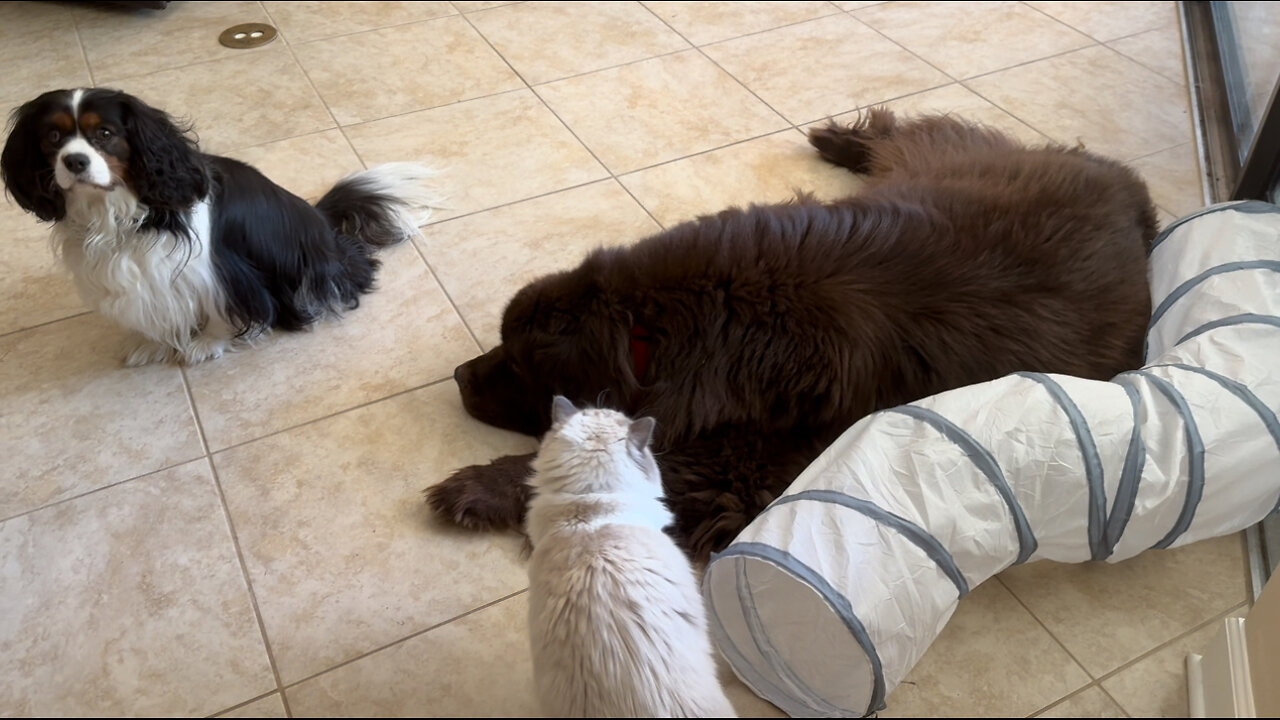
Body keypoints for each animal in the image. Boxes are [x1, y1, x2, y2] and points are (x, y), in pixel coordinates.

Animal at [2, 87, 440, 363]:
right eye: (53, 137)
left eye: (104, 134)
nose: (74, 161)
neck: (121, 210)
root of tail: (322, 219)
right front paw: (150, 344)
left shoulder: (216, 269)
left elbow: (217, 306)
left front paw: (207, 344)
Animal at [424, 107, 1157, 561]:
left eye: (520, 365)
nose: (459, 376)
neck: (660, 332)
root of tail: (1132, 191)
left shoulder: (741, 466)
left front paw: (475, 488)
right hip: (940, 165)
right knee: (914, 130)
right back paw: (840, 141)